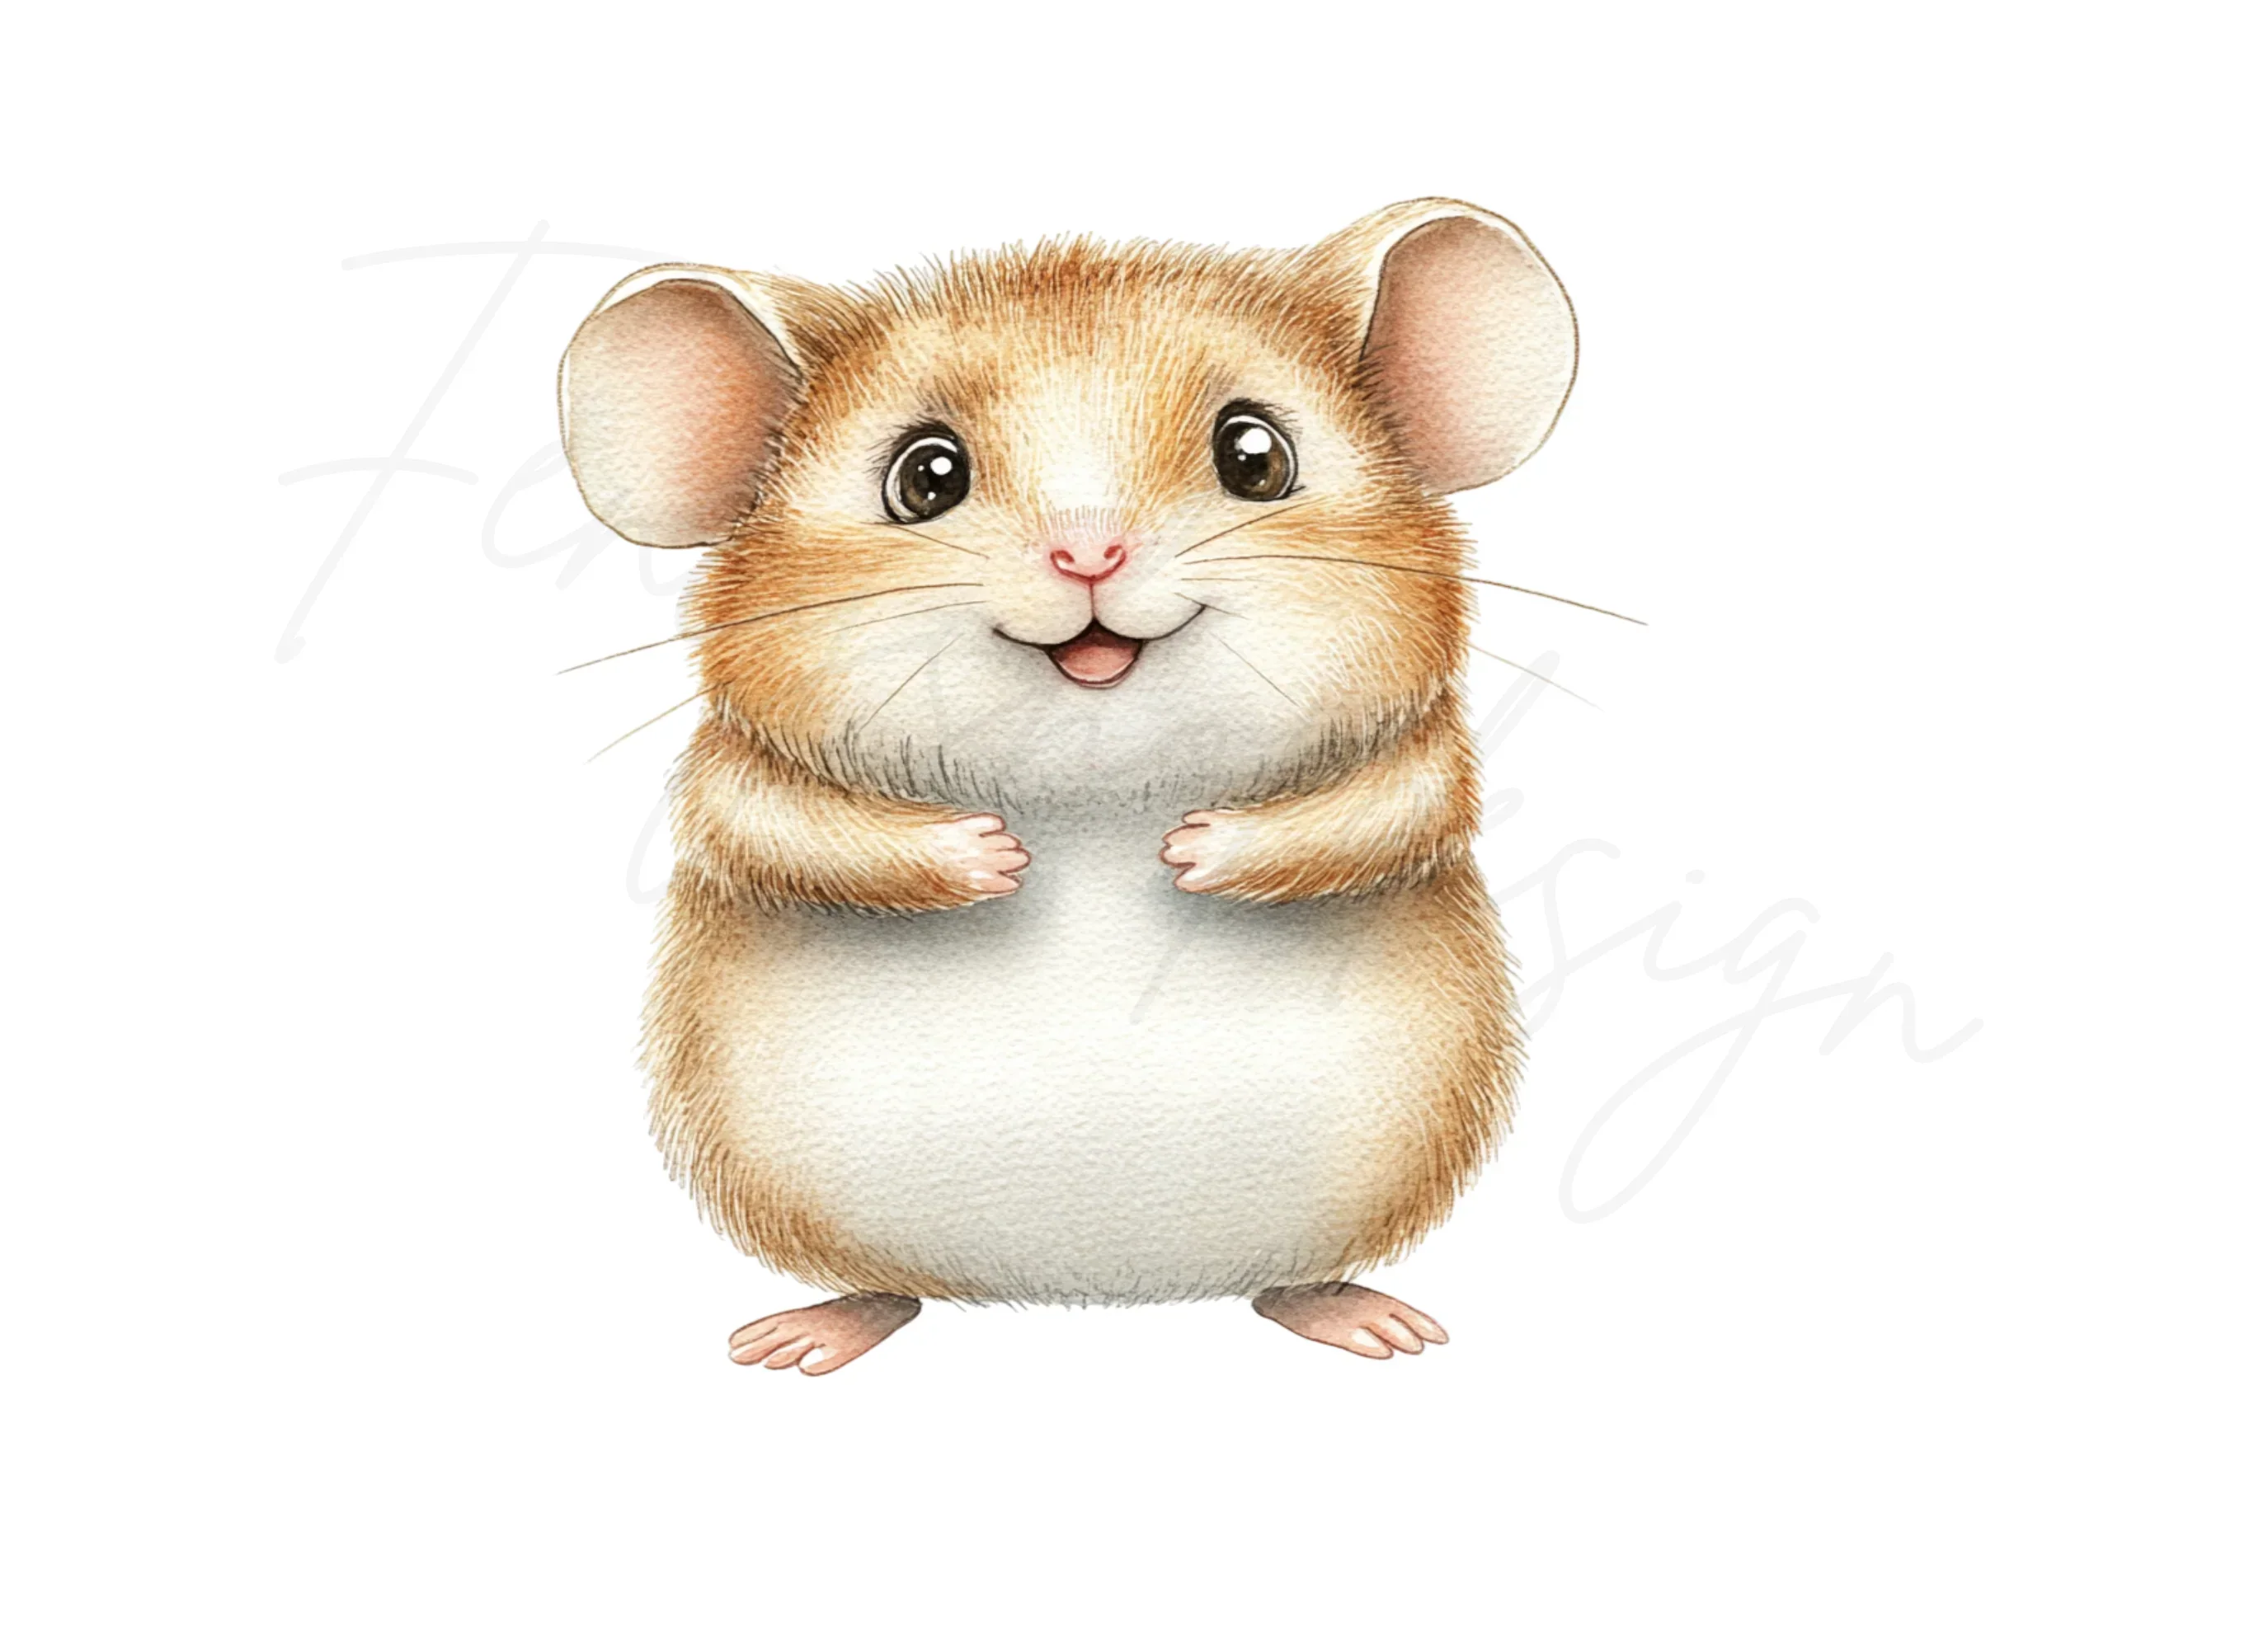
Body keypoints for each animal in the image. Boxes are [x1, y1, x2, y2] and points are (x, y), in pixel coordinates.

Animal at [559, 199, 1578, 1371]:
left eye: (1256, 454)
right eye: (925, 475)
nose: (1088, 553)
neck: (1097, 790)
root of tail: (1086, 1286)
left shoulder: (1424, 759)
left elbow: (1369, 813)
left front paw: (1190, 848)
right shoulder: (730, 777)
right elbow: (797, 830)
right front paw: (996, 853)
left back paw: (1374, 1323)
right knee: (885, 1290)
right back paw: (800, 1338)